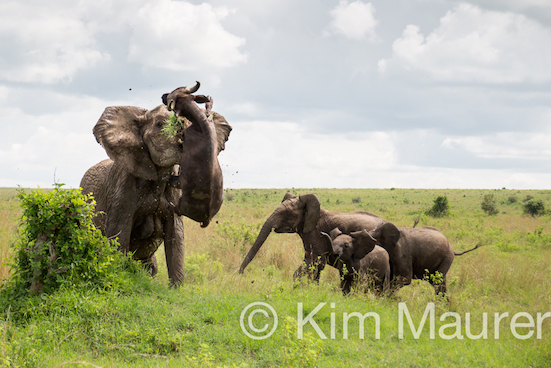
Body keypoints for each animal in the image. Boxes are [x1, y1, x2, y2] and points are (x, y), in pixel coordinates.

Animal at [162, 82, 229, 229]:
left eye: (172, 93)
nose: (163, 95)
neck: (201, 124)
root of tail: (207, 218)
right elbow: (209, 108)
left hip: (181, 201)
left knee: (176, 208)